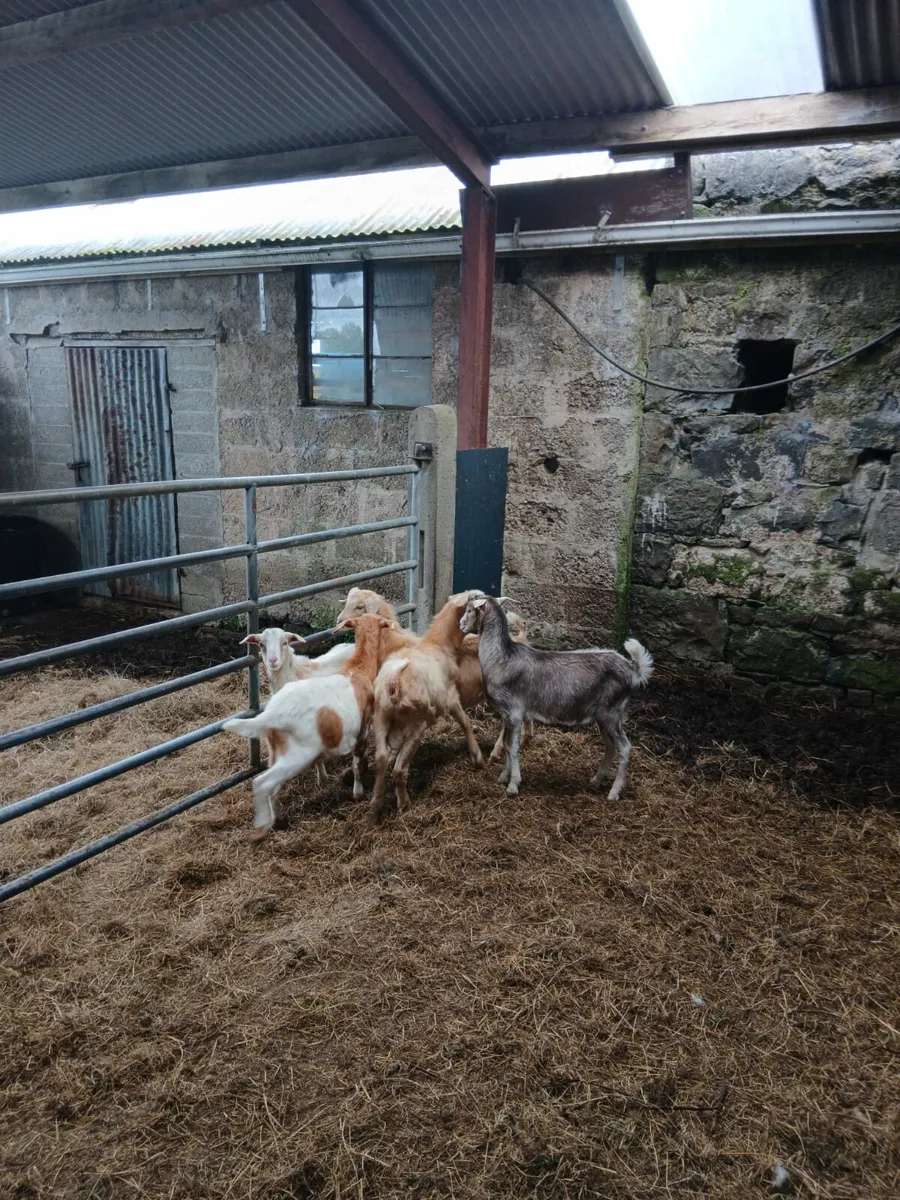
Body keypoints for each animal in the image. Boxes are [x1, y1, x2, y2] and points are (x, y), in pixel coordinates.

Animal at [223, 614, 391, 838]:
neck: (357, 668)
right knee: (262, 783)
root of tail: (271, 714)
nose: (273, 661)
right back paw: (262, 826)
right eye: (261, 645)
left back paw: (279, 820)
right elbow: (357, 763)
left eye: (285, 642)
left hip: (277, 752)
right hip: (297, 755)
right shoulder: (362, 729)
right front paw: (357, 792)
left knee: (273, 788)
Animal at [370, 592, 485, 821]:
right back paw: (404, 803)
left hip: (381, 717)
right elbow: (466, 722)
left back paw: (376, 806)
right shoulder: (451, 697)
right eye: (477, 599)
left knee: (381, 758)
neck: (440, 644)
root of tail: (394, 681)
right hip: (417, 722)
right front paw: (478, 758)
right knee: (399, 769)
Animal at [460, 594, 653, 801]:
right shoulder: (506, 714)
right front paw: (504, 776)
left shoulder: (515, 711)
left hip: (612, 712)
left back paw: (614, 792)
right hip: (604, 715)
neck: (501, 658)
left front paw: (513, 784)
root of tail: (634, 670)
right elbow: (506, 744)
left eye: (470, 610)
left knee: (624, 748)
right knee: (610, 746)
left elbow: (513, 747)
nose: (461, 625)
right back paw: (596, 780)